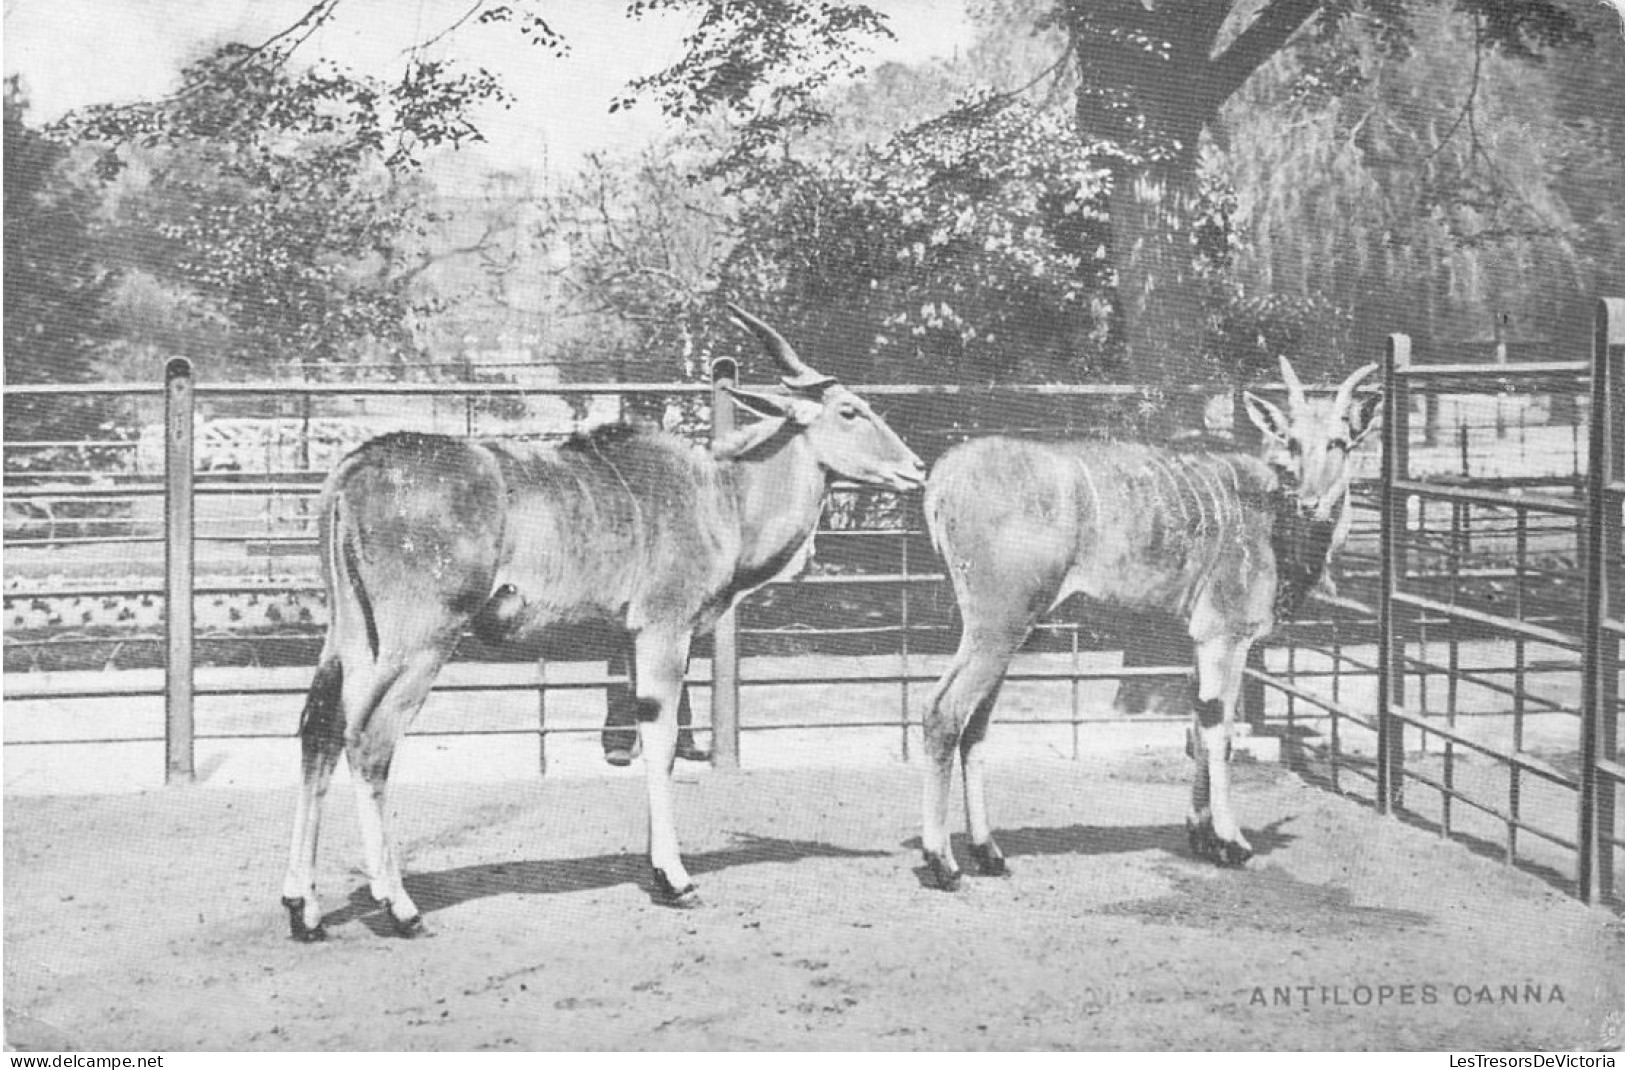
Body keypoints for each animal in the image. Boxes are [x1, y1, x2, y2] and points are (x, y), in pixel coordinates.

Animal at [273, 304, 923, 936]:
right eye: (850, 410)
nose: (916, 468)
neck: (722, 497)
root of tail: (354, 470)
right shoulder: (664, 630)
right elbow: (660, 741)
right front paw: (675, 878)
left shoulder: (632, 640)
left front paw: (655, 866)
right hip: (421, 640)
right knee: (369, 740)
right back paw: (399, 906)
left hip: (350, 636)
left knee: (319, 728)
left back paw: (304, 907)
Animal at [923, 354, 1378, 884]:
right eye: (1291, 440)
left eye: (1340, 441)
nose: (1310, 501)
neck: (1275, 522)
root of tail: (943, 480)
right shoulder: (1225, 634)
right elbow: (1219, 729)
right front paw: (1232, 841)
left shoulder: (1199, 640)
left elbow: (1199, 723)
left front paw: (1202, 835)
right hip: (999, 624)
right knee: (943, 712)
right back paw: (942, 862)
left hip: (1003, 630)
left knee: (974, 727)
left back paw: (989, 852)